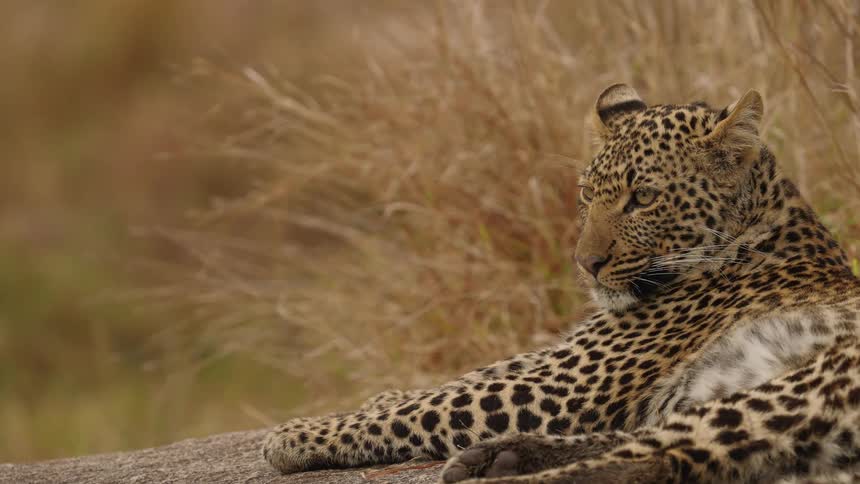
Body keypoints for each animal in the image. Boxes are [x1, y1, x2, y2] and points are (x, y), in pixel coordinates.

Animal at [261, 84, 860, 483]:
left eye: (644, 198)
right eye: (587, 194)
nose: (586, 263)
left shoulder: (566, 384)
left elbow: (443, 400)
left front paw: (299, 434)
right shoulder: (564, 355)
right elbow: (468, 375)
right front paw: (376, 398)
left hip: (809, 384)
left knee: (659, 458)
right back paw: (498, 456)